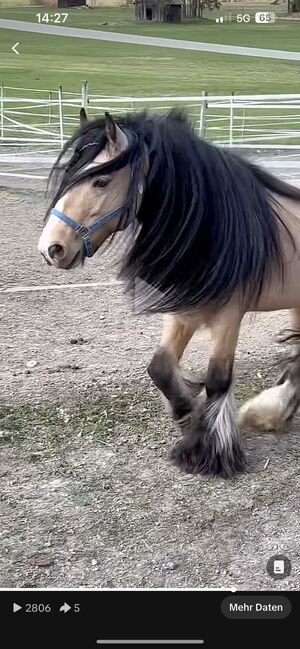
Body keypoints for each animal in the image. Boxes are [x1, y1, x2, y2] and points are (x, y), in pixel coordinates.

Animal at [38, 109, 300, 478]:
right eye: (68, 176)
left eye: (100, 181)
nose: (52, 248)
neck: (217, 228)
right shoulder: (183, 310)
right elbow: (160, 368)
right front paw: (188, 412)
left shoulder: (228, 315)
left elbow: (217, 379)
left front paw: (209, 453)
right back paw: (271, 414)